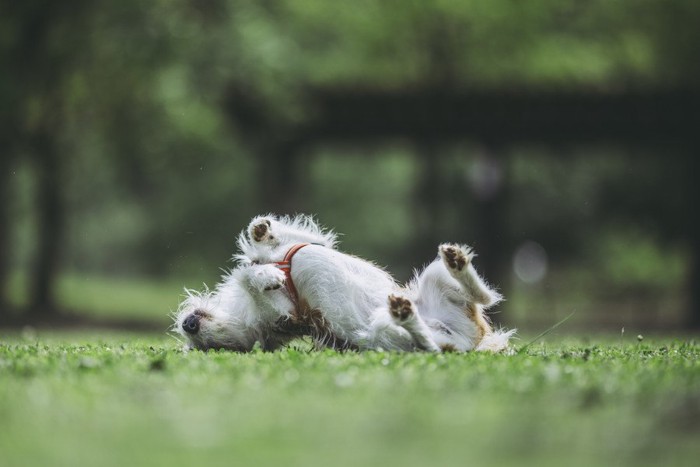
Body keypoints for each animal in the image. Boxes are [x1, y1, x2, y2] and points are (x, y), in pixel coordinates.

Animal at [174, 216, 516, 354]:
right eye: (213, 348)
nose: (189, 324)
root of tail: (468, 341)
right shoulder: (286, 312)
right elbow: (247, 275)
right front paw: (266, 277)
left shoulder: (309, 244)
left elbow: (278, 243)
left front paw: (261, 231)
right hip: (381, 333)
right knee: (428, 346)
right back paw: (405, 314)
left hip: (433, 278)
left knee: (486, 296)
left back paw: (456, 262)